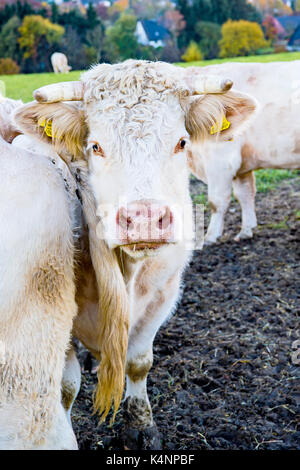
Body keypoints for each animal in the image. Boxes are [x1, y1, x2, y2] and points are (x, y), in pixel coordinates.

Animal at [13, 60, 258, 450]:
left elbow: (139, 362)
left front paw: (141, 426)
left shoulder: (163, 293)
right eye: (95, 145)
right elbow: (65, 387)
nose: (144, 219)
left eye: (182, 142)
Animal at [186, 61, 300, 244]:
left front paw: (210, 236)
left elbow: (216, 201)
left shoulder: (221, 162)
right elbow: (245, 194)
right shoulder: (242, 167)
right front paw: (247, 230)